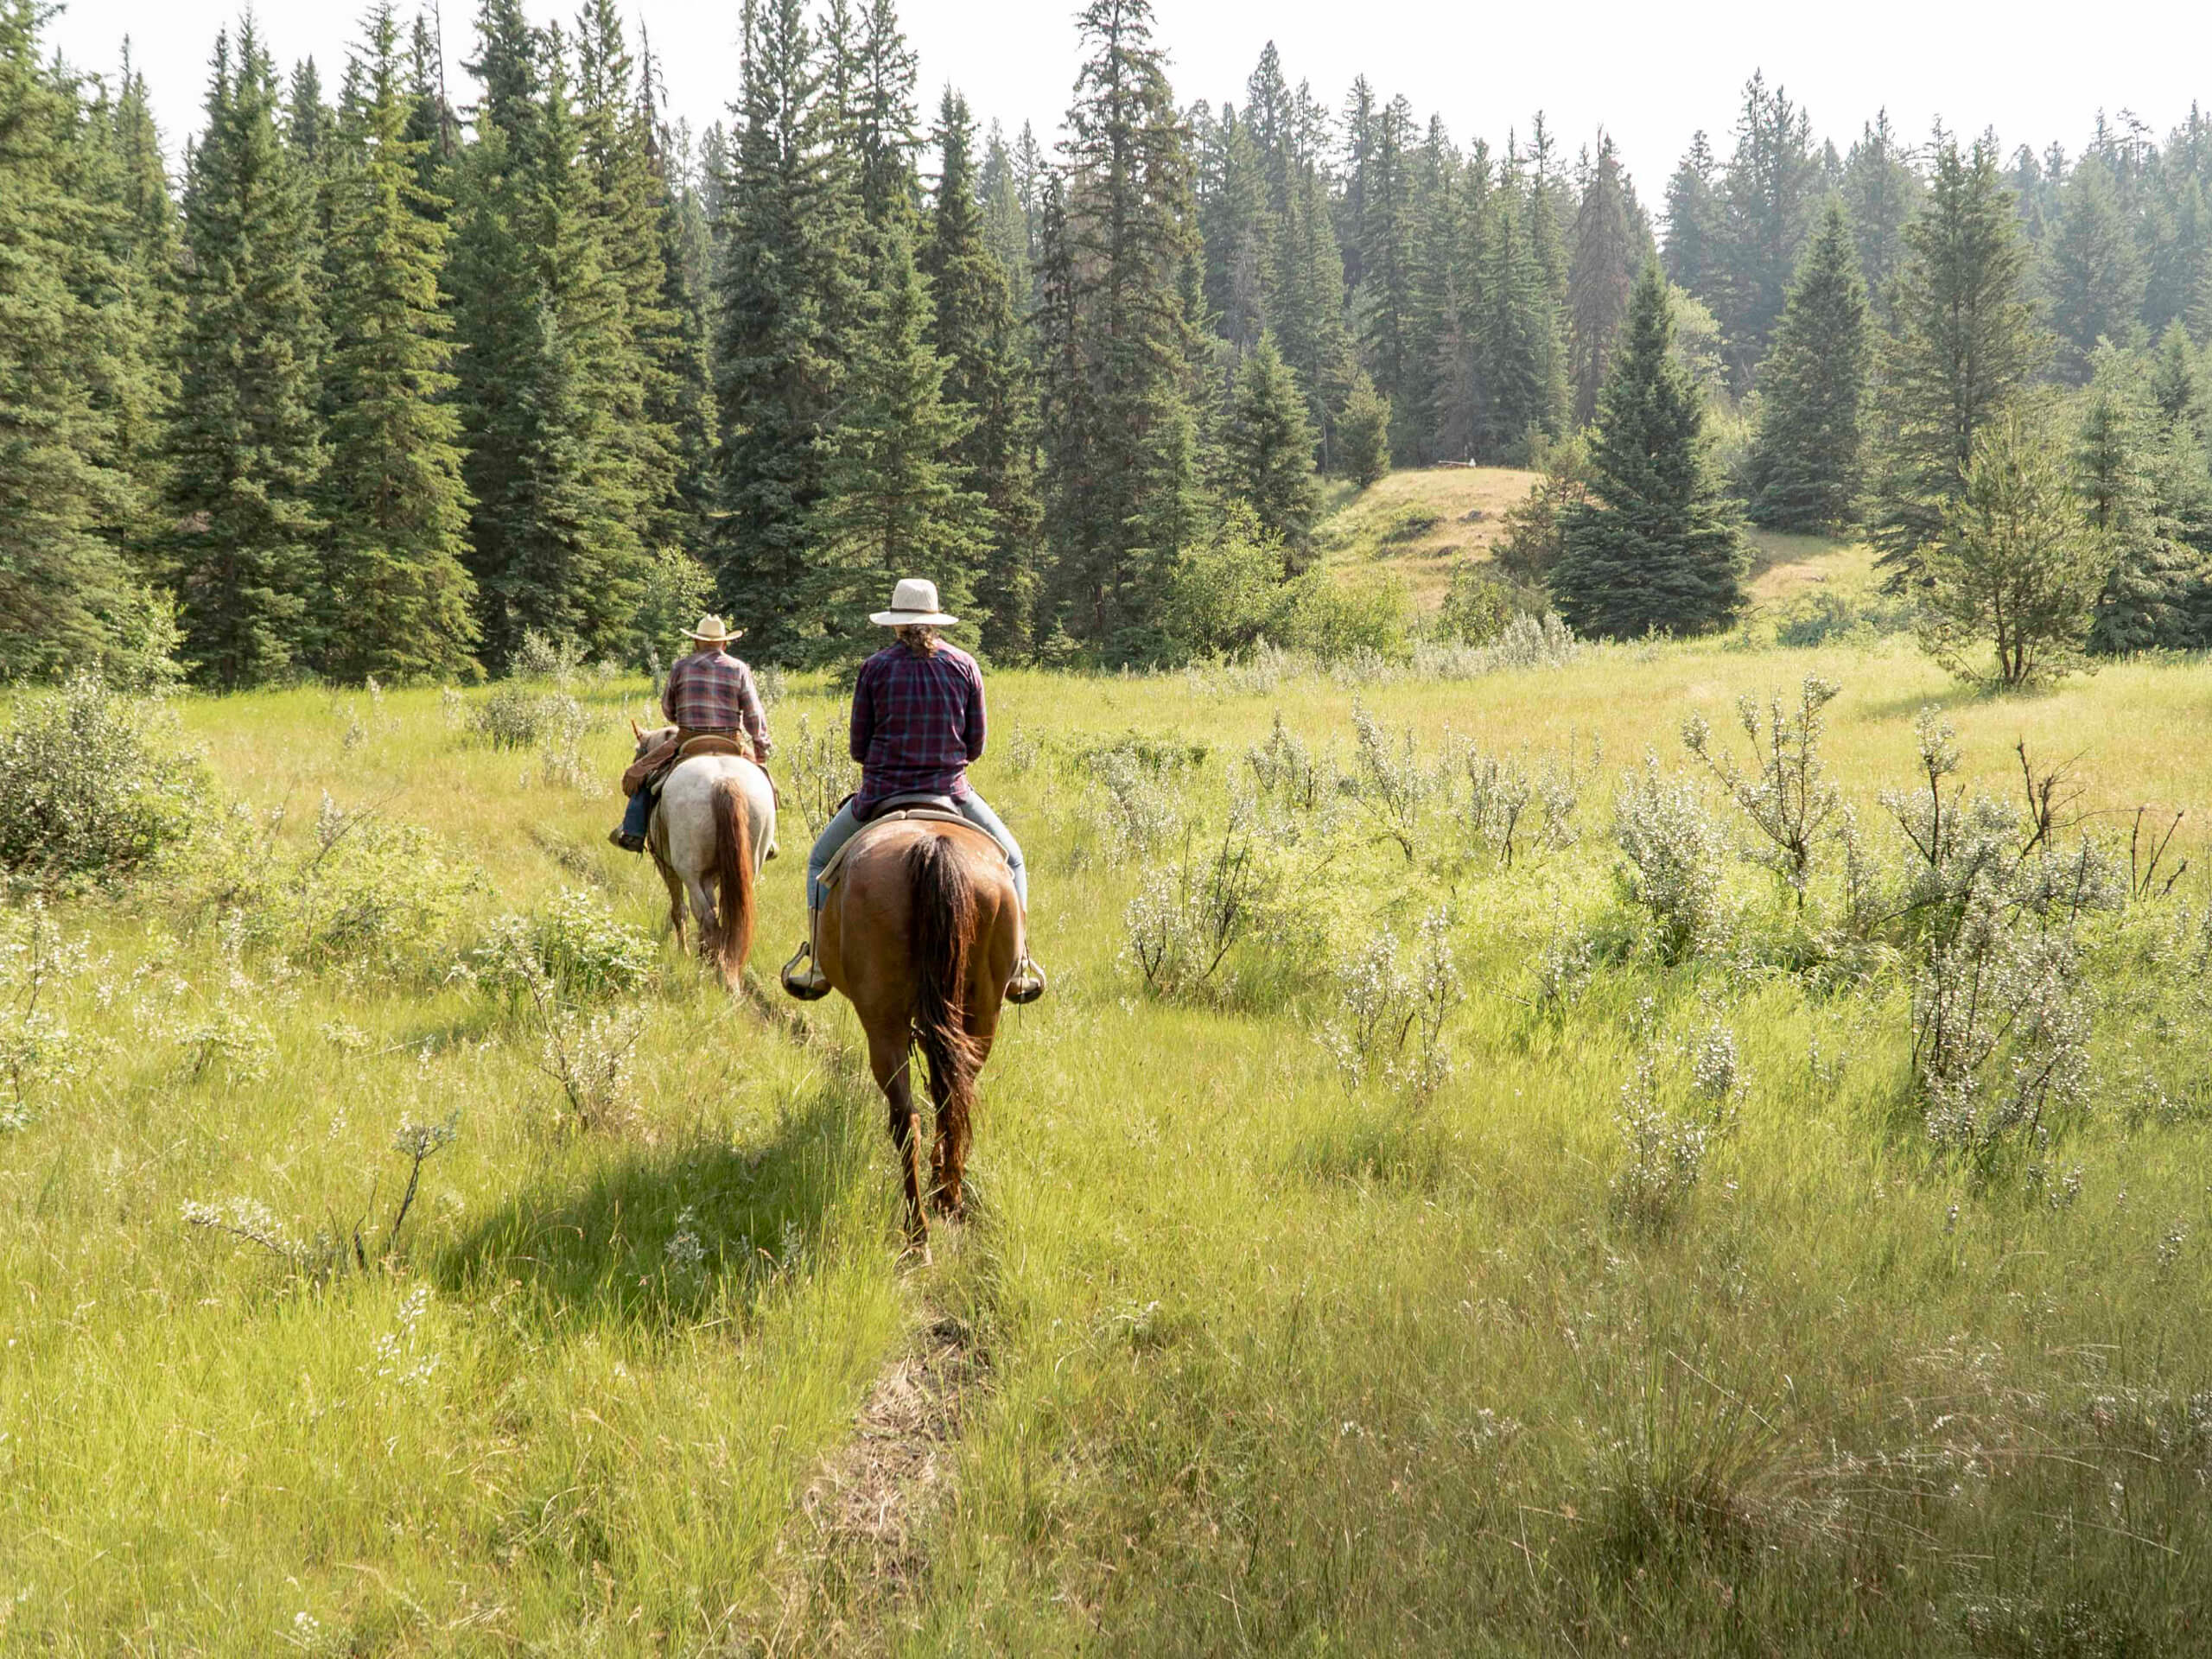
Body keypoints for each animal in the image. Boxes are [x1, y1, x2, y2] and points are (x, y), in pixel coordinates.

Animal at [632, 725, 779, 986]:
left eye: (639, 751)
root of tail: (723, 781)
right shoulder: (713, 875)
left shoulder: (667, 866)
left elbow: (680, 910)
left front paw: (685, 953)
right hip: (749, 865)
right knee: (731, 920)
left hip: (688, 871)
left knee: (705, 916)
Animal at [823, 814, 1026, 1256]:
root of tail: (932, 848)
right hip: (980, 1016)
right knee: (950, 1098)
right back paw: (942, 1200)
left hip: (885, 1025)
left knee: (910, 1116)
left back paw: (920, 1228)